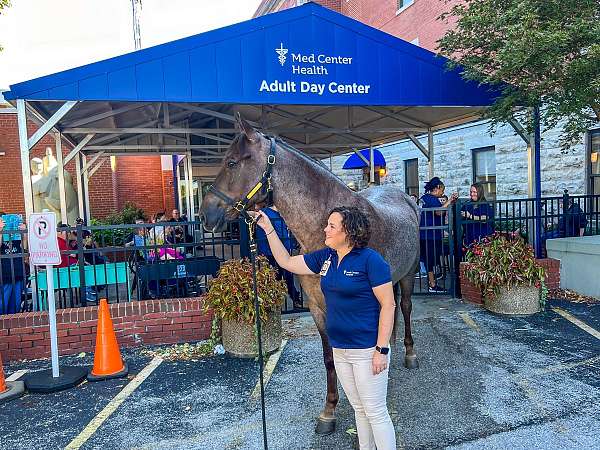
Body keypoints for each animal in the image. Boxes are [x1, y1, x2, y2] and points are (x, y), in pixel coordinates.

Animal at [199, 114, 420, 434]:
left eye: (231, 162)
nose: (206, 215)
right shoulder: (317, 306)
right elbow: (330, 358)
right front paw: (329, 411)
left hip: (408, 275)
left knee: (404, 307)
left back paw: (410, 355)